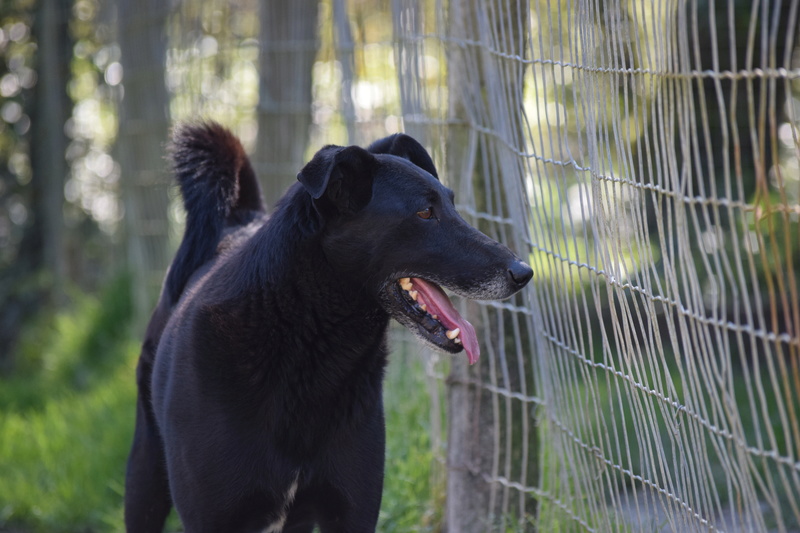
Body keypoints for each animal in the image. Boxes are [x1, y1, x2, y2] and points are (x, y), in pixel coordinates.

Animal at [125, 122, 532, 528]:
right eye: (425, 212)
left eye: (451, 204)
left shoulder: (352, 511)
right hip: (145, 477)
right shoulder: (212, 517)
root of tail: (238, 222)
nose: (524, 272)